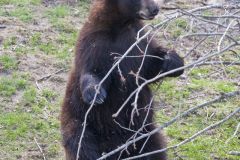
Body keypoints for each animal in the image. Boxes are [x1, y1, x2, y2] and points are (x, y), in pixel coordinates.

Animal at [60, 0, 184, 159]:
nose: (155, 9)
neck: (121, 24)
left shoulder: (138, 42)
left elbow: (149, 66)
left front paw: (172, 60)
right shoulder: (95, 43)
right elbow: (91, 70)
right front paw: (95, 93)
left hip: (144, 132)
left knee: (154, 148)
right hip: (82, 124)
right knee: (83, 146)